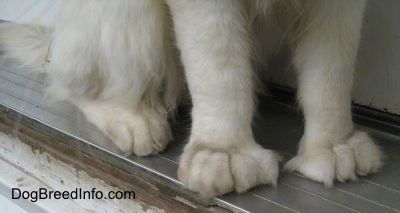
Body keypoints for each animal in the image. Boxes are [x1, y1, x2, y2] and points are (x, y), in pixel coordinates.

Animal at [0, 0, 382, 198]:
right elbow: (220, 71)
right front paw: (224, 153)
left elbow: (330, 76)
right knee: (77, 88)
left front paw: (333, 146)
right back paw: (136, 121)